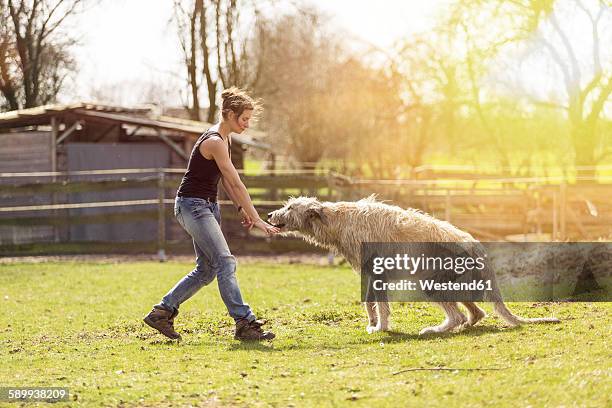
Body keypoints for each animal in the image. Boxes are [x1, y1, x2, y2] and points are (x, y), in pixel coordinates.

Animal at [268, 195, 560, 334]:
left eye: (291, 207)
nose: (269, 214)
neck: (335, 219)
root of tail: (476, 245)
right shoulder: (370, 274)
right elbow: (369, 302)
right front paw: (373, 324)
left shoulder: (377, 273)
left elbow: (379, 305)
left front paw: (381, 327)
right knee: (476, 313)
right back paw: (466, 324)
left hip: (431, 282)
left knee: (456, 315)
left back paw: (438, 329)